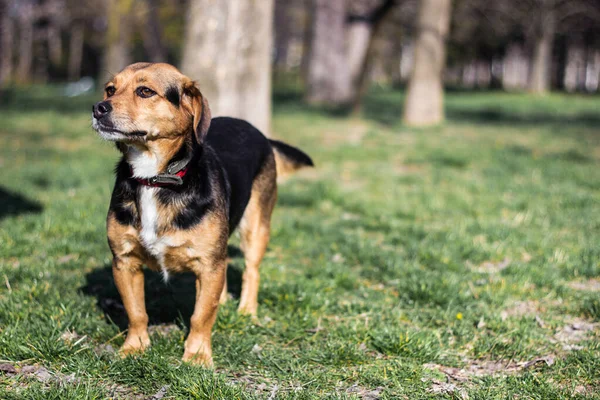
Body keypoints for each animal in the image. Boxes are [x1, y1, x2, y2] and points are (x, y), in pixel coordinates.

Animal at [91, 62, 314, 366]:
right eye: (110, 89)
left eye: (145, 91)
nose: (98, 108)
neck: (154, 178)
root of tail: (257, 131)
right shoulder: (124, 262)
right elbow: (136, 312)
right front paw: (134, 348)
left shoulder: (209, 264)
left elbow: (201, 315)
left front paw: (196, 355)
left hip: (255, 228)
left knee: (251, 271)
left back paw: (247, 311)